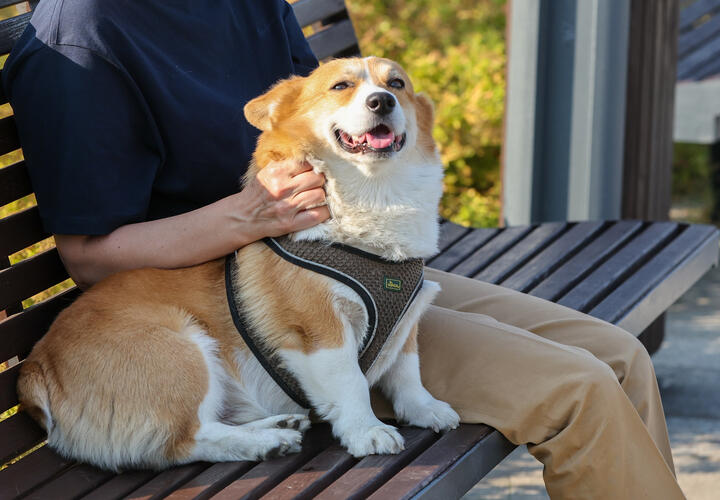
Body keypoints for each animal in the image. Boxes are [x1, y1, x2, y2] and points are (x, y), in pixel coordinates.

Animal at [18, 56, 462, 470]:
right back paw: (266, 442)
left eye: (397, 84)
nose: (381, 101)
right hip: (182, 350)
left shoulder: (406, 316)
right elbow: (350, 381)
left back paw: (276, 426)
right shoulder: (320, 328)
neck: (376, 191)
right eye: (340, 86)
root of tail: (36, 366)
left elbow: (406, 369)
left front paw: (425, 409)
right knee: (186, 440)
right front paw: (367, 431)